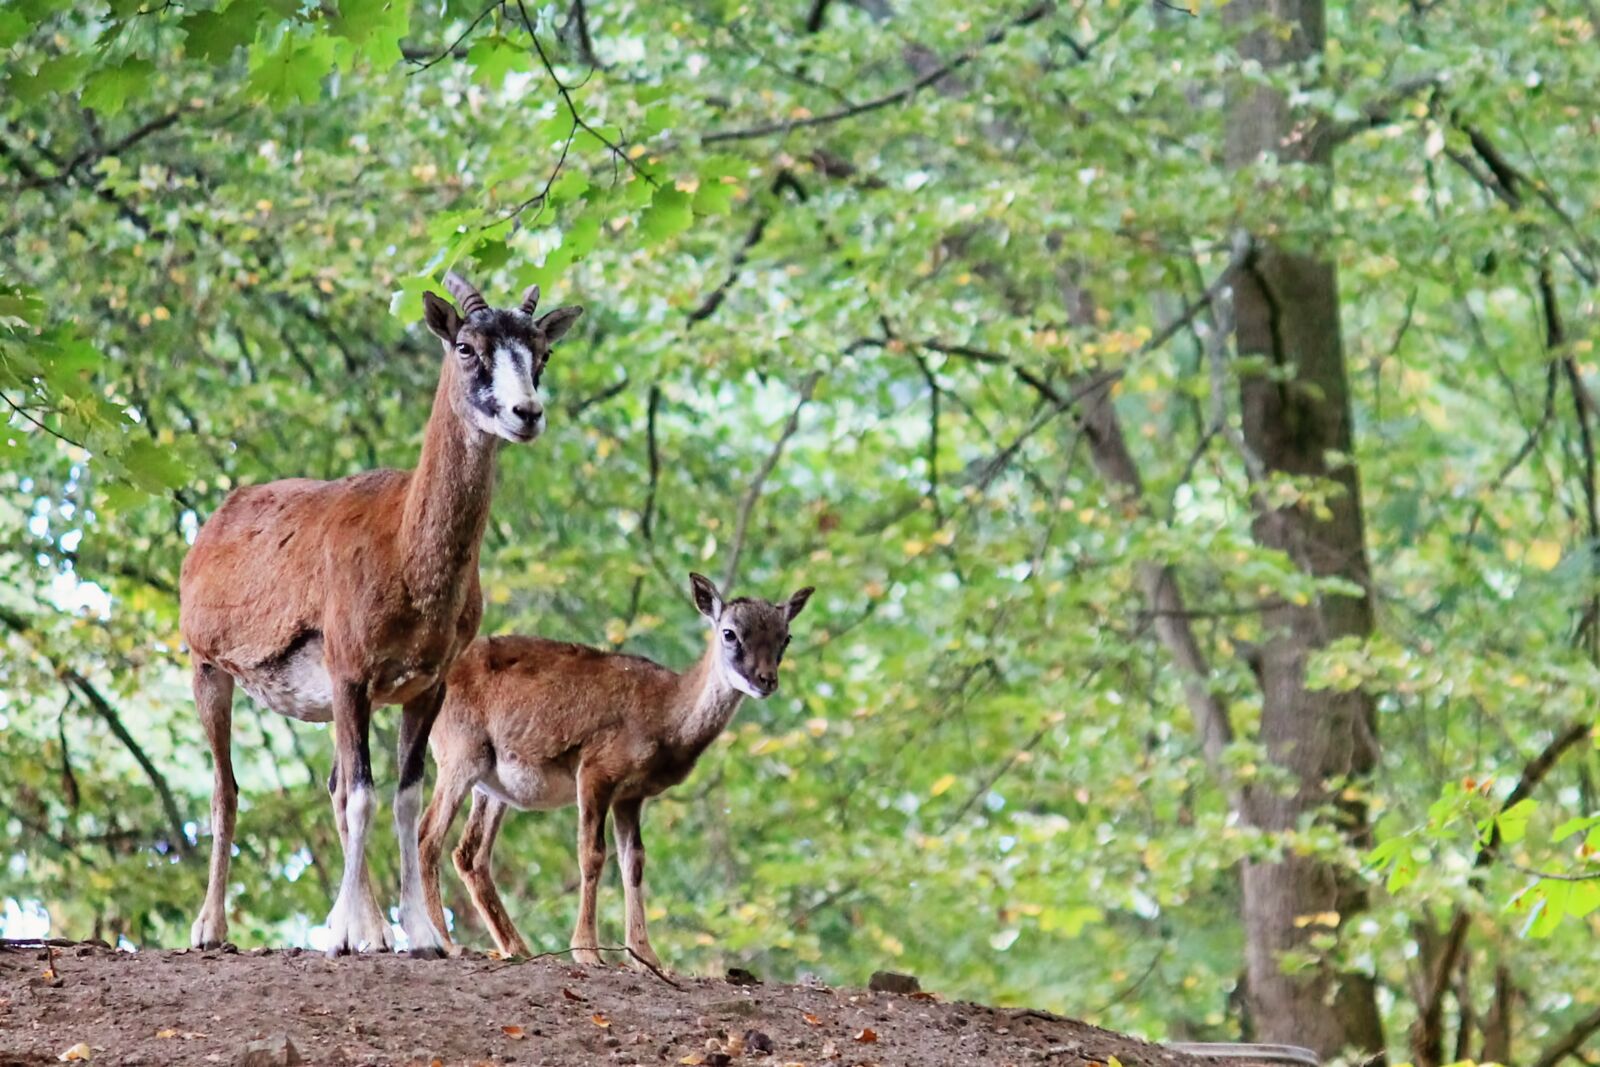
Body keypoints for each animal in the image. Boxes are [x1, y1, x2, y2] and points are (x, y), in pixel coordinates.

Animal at [179, 273, 582, 957]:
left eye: (543, 352)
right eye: (467, 347)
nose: (526, 414)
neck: (403, 552)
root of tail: (212, 529)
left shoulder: (425, 686)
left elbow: (401, 798)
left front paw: (418, 936)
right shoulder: (350, 673)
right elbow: (365, 798)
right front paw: (350, 935)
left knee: (335, 787)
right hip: (210, 668)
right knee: (225, 789)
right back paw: (211, 928)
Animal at [417, 572, 813, 967]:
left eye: (785, 636)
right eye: (730, 633)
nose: (765, 679)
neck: (666, 716)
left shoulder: (631, 795)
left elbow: (633, 861)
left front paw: (646, 956)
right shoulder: (596, 770)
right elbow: (592, 853)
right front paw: (588, 951)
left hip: (492, 784)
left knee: (469, 854)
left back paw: (519, 948)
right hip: (461, 752)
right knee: (428, 834)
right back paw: (448, 943)